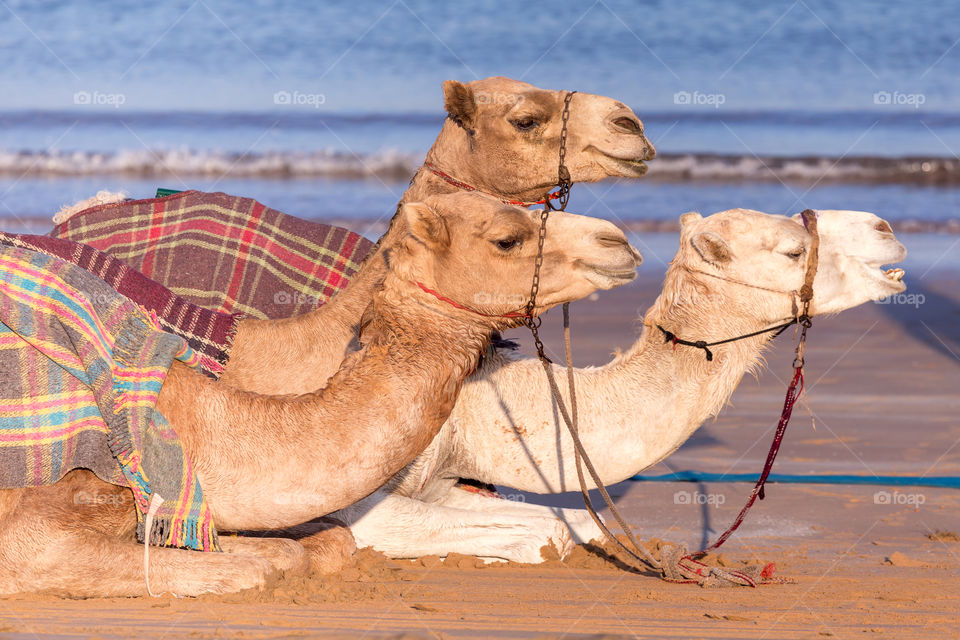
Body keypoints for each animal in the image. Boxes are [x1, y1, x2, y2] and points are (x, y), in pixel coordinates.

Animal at [334, 209, 912, 560]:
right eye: (793, 251)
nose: (883, 226)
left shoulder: (443, 477)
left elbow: (575, 523)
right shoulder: (363, 494)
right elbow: (544, 532)